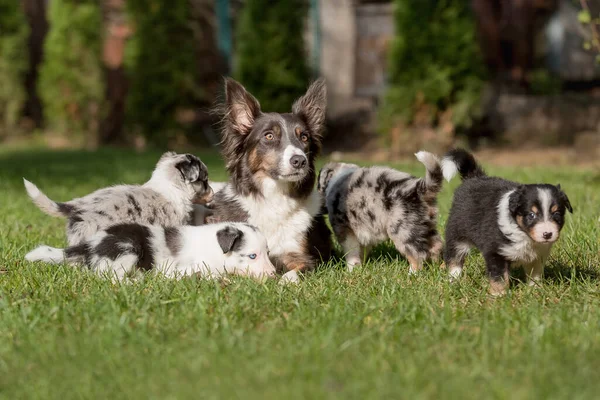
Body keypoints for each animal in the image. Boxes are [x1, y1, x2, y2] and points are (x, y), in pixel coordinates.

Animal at [206, 76, 332, 282]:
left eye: (304, 137)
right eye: (269, 136)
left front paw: (283, 282)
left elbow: (292, 274)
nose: (300, 161)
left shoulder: (303, 257)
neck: (275, 198)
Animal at [318, 152, 446, 274]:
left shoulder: (345, 230)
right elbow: (362, 250)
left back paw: (412, 274)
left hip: (402, 231)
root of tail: (419, 189)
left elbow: (351, 253)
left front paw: (351, 270)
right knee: (436, 246)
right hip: (427, 226)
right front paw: (361, 266)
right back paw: (437, 268)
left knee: (417, 255)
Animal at [442, 148, 576, 296]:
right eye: (531, 215)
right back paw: (453, 281)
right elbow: (499, 277)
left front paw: (534, 291)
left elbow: (534, 274)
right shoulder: (495, 251)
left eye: (556, 214)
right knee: (454, 259)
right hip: (457, 234)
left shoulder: (538, 256)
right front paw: (499, 295)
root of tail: (474, 177)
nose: (547, 234)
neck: (523, 234)